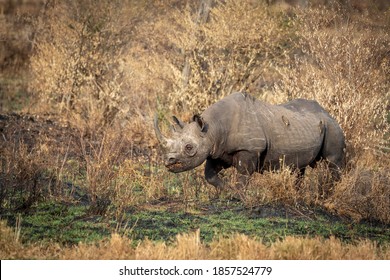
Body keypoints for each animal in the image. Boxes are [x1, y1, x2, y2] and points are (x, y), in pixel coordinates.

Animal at [154, 93, 346, 191]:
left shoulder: (249, 149)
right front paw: (227, 191)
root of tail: (327, 112)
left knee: (332, 162)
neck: (212, 128)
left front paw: (238, 195)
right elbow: (209, 175)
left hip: (332, 126)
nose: (169, 161)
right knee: (300, 168)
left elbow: (243, 174)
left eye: (189, 147)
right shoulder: (217, 151)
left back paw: (328, 195)